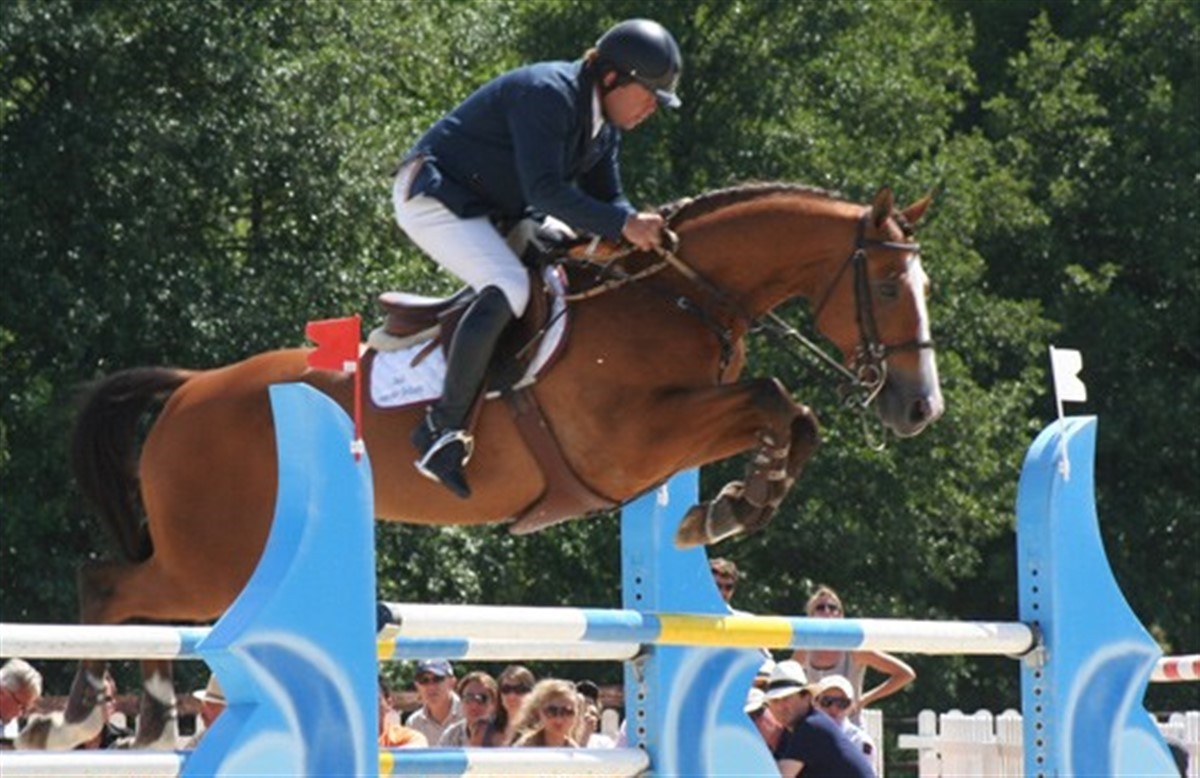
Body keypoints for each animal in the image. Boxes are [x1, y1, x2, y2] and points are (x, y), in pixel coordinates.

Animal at [26, 183, 942, 749]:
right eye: (887, 288)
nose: (917, 408)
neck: (677, 294)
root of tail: (190, 389)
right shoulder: (629, 442)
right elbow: (775, 395)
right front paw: (736, 505)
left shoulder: (669, 437)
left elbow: (788, 412)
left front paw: (726, 505)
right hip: (212, 558)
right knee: (106, 586)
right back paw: (78, 720)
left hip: (214, 562)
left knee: (143, 608)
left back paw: (148, 721)